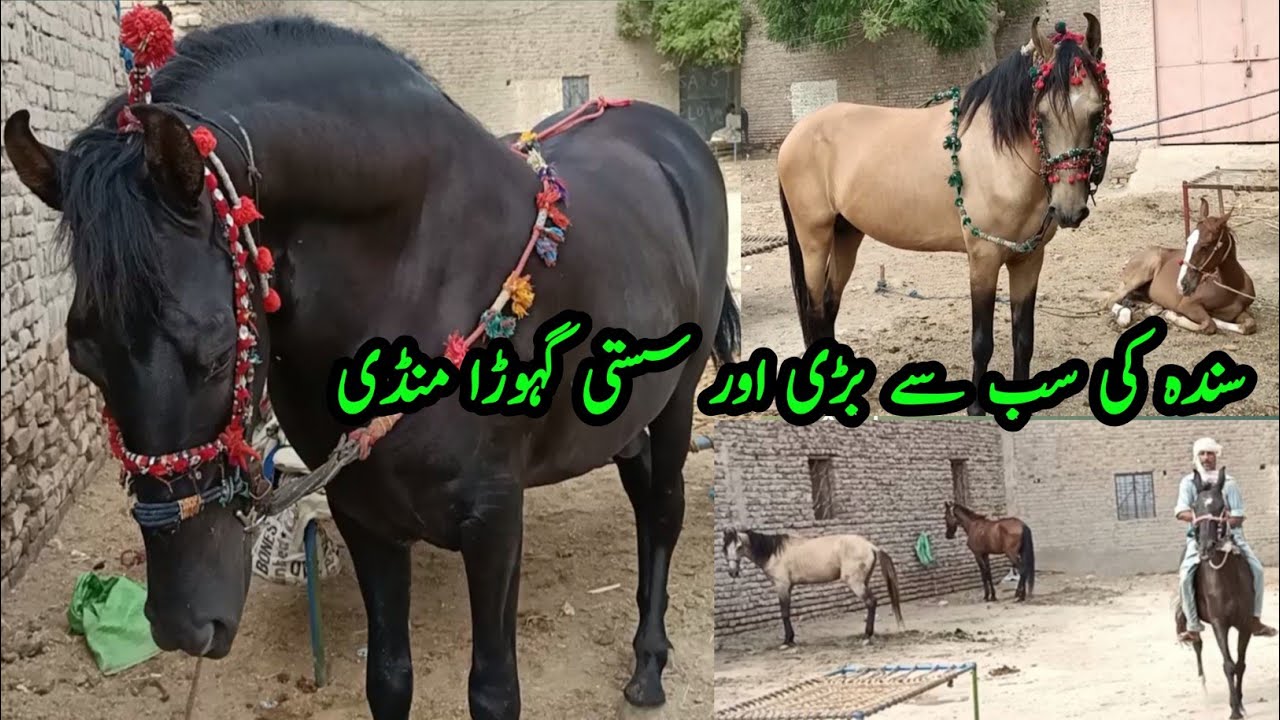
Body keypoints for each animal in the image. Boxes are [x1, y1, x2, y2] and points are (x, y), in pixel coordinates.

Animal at [2, 12, 739, 720]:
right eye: (83, 357)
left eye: (215, 352)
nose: (182, 623)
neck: (416, 273)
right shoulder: (363, 516)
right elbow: (387, 680)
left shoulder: (495, 520)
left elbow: (494, 692)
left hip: (675, 401)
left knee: (663, 510)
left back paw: (649, 662)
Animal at [721, 528, 904, 648]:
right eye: (725, 549)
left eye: (738, 547)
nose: (732, 572)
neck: (774, 553)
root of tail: (871, 546)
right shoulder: (788, 588)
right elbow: (787, 612)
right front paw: (791, 639)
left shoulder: (782, 586)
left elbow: (784, 613)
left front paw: (786, 642)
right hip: (863, 581)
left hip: (855, 583)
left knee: (871, 602)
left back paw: (866, 636)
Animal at [776, 15, 1111, 415]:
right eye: (1041, 116)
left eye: (1096, 113)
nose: (1068, 209)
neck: (1000, 155)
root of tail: (797, 133)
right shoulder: (983, 259)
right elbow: (982, 340)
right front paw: (976, 409)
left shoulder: (1028, 261)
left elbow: (1023, 337)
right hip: (814, 237)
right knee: (814, 306)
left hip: (847, 234)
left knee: (829, 302)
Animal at [1108, 197, 1256, 335]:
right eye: (1188, 241)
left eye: (1205, 246)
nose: (1182, 285)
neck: (1232, 288)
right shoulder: (1188, 305)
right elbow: (1209, 324)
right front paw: (1172, 315)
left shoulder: (1240, 311)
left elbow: (1249, 325)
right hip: (1141, 275)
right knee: (1112, 299)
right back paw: (1125, 316)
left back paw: (1152, 308)